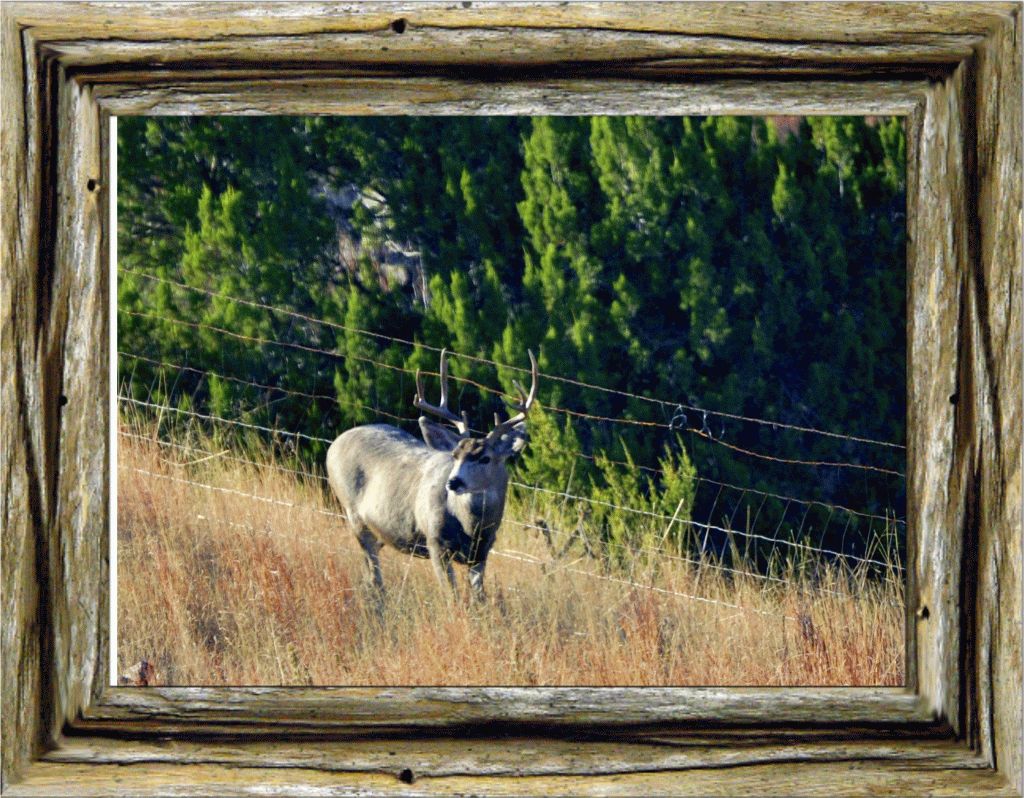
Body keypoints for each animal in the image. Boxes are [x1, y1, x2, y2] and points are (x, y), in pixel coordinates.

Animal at [327, 346, 540, 602]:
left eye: (485, 458)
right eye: (455, 455)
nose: (454, 482)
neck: (472, 527)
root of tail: (334, 445)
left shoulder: (482, 552)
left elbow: (479, 597)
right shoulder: (435, 541)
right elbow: (452, 597)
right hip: (354, 515)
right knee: (373, 574)